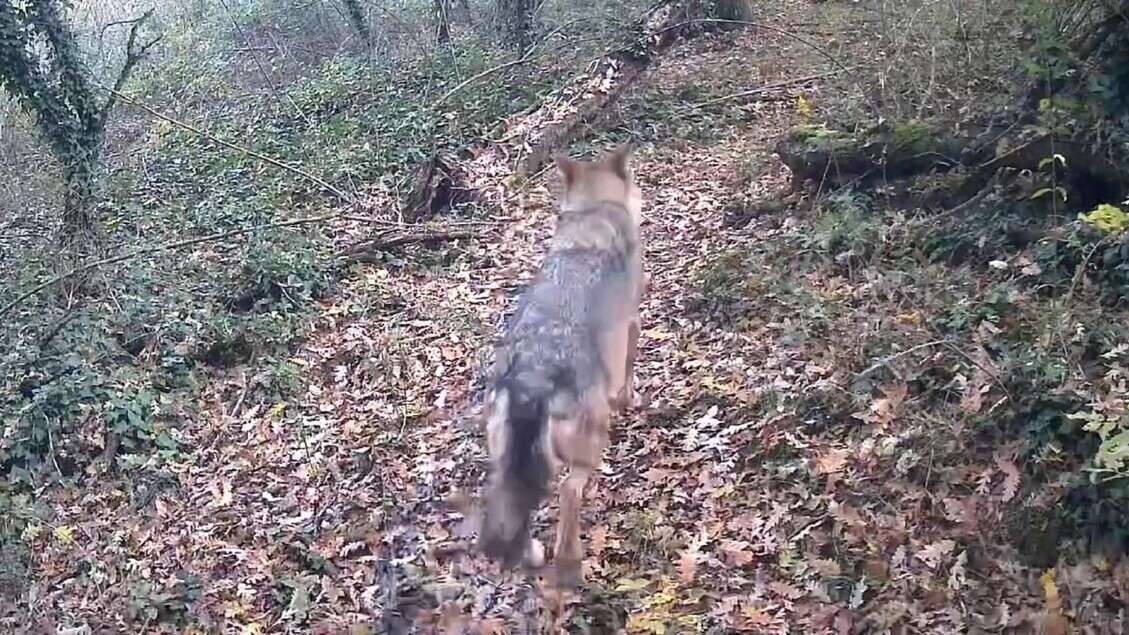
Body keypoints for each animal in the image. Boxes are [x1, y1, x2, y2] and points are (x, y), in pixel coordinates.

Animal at [476, 145, 645, 587]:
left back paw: (534, 555)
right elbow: (629, 368)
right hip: (589, 441)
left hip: (505, 460)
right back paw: (570, 563)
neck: (593, 212)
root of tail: (531, 378)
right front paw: (629, 399)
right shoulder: (632, 323)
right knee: (570, 492)